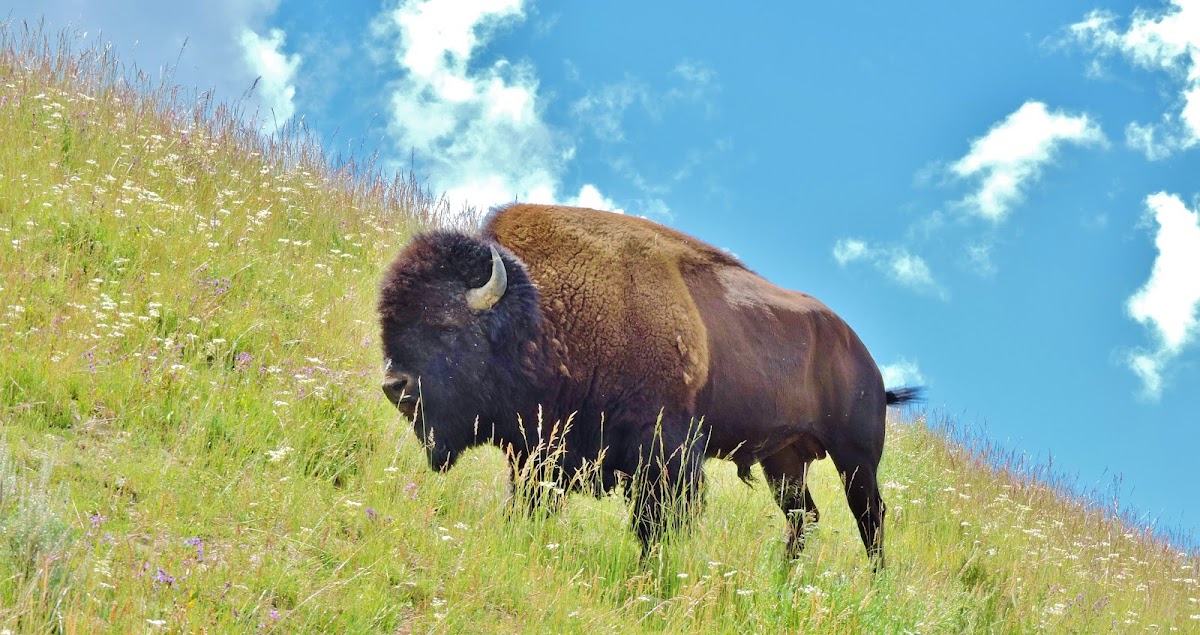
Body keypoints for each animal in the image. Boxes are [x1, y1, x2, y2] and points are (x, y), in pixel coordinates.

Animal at [379, 204, 921, 564]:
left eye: (447, 325)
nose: (395, 386)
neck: (540, 315)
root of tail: (865, 359)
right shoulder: (542, 452)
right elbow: (535, 503)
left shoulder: (664, 454)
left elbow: (656, 524)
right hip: (783, 461)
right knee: (803, 516)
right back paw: (785, 579)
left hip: (855, 458)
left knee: (870, 517)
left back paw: (873, 585)